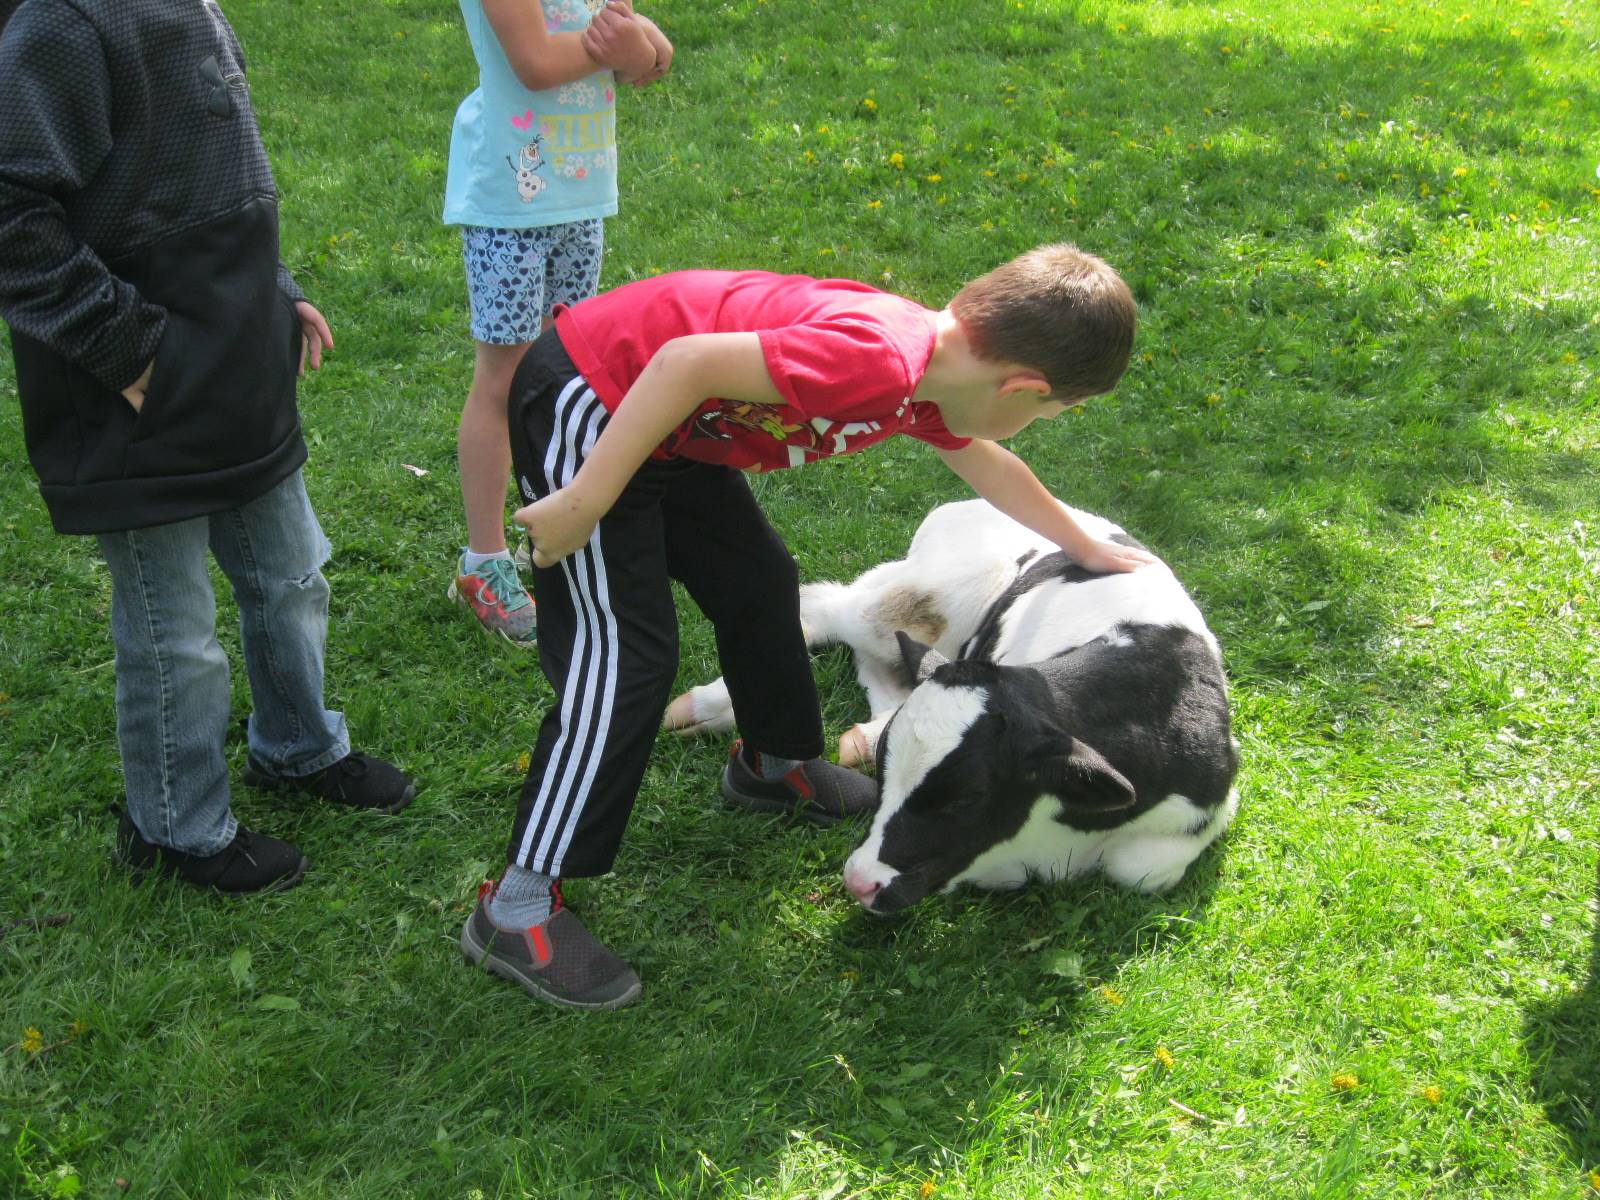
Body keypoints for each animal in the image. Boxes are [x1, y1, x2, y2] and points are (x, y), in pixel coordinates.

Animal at [662, 502, 1235, 915]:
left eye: (968, 796)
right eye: (888, 775)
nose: (861, 881)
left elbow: (1137, 869)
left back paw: (859, 736)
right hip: (928, 597)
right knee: (824, 606)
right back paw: (703, 707)